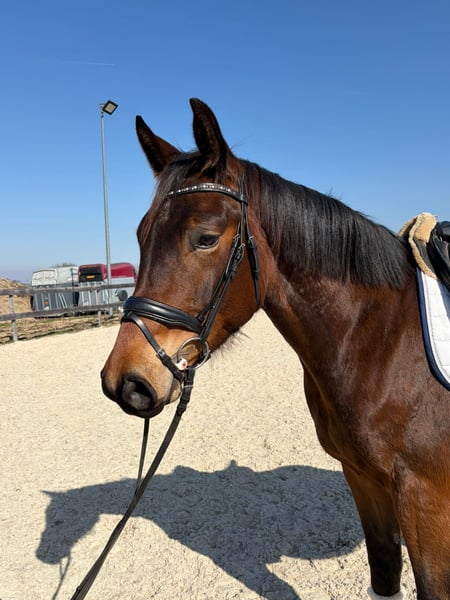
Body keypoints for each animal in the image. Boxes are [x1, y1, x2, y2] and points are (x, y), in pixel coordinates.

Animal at [101, 98, 450, 599]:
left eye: (206, 238)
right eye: (141, 234)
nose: (126, 381)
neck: (386, 344)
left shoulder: (426, 501)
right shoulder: (365, 480)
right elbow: (384, 573)